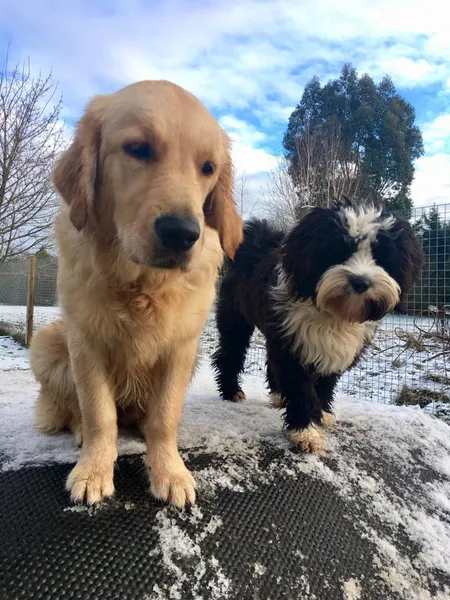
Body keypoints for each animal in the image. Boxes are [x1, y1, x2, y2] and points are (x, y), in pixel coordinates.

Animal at [211, 199, 422, 452]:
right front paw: (305, 431)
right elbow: (300, 387)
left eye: (380, 256)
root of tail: (255, 244)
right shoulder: (293, 345)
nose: (360, 282)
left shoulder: (328, 349)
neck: (334, 313)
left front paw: (321, 414)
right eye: (338, 250)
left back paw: (279, 396)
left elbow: (325, 384)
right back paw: (232, 392)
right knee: (230, 354)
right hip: (236, 320)